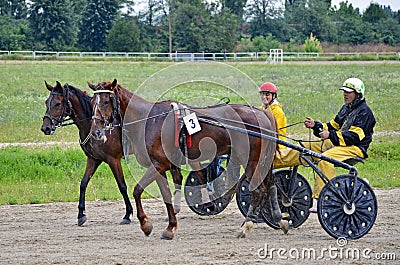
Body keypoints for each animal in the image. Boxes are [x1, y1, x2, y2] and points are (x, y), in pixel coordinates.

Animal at [40, 81, 134, 225]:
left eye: (57, 103)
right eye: (46, 102)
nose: (45, 127)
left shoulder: (114, 159)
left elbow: (122, 186)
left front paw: (128, 214)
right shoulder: (93, 159)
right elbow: (83, 183)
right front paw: (81, 214)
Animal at [88, 79, 288, 239]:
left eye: (105, 101)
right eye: (92, 102)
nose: (96, 131)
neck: (149, 120)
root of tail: (262, 114)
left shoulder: (159, 164)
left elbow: (137, 190)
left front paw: (146, 224)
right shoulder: (161, 166)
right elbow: (166, 195)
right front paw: (170, 227)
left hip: (251, 159)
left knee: (258, 190)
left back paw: (246, 226)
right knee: (271, 184)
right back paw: (279, 219)